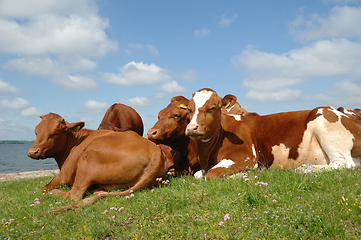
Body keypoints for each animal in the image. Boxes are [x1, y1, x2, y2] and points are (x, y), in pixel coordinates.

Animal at [184, 88, 360, 180]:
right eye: (189, 109)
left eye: (212, 108)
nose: (191, 128)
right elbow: (198, 175)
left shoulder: (245, 157)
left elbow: (211, 174)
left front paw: (246, 174)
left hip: (324, 120)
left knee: (344, 164)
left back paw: (304, 169)